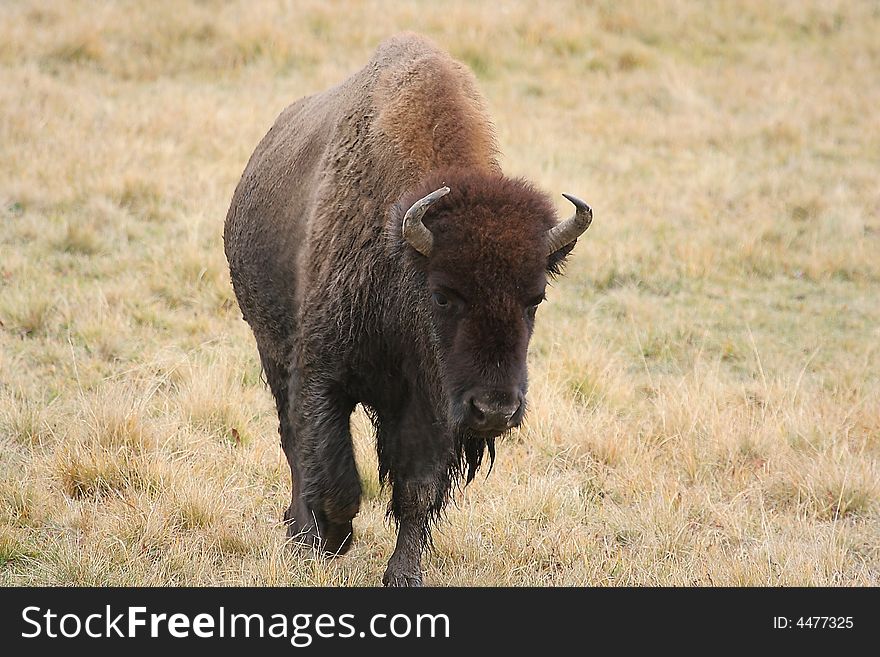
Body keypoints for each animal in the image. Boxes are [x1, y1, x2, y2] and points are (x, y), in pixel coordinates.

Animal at [222, 33, 592, 584]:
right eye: (442, 295)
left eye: (536, 299)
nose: (495, 409)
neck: (401, 251)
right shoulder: (323, 374)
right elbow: (334, 475)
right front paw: (330, 539)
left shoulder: (433, 406)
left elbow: (418, 489)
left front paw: (403, 572)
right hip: (271, 350)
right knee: (292, 442)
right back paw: (300, 531)